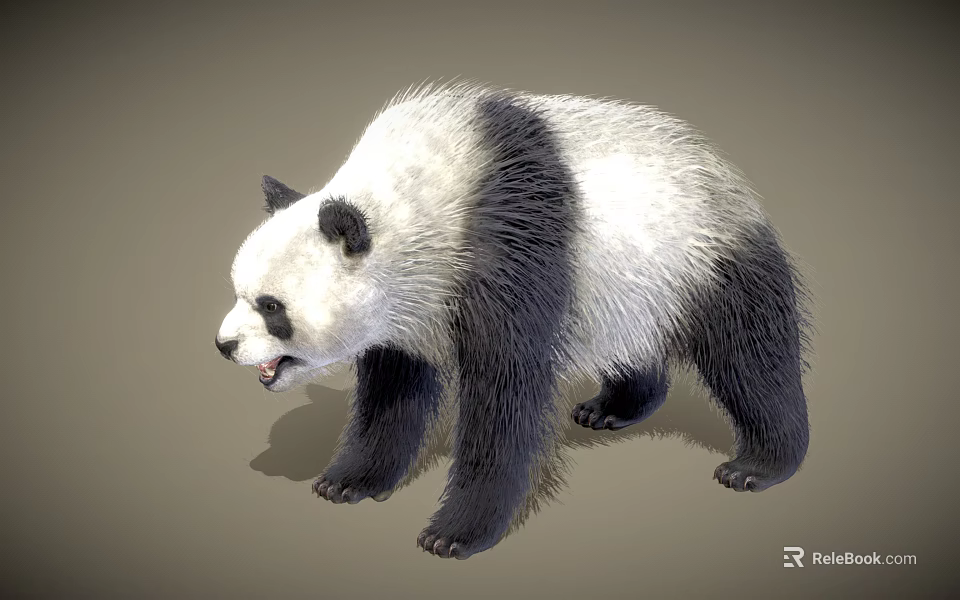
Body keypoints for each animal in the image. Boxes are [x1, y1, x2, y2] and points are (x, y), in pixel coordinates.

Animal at [214, 80, 815, 560]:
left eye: (271, 307)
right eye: (239, 290)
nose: (224, 346)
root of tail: (724, 166)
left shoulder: (510, 244)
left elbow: (505, 393)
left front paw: (454, 533)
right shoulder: (407, 312)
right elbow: (393, 391)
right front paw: (348, 482)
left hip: (706, 252)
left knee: (750, 353)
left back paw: (759, 464)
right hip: (638, 287)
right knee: (636, 341)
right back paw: (615, 407)